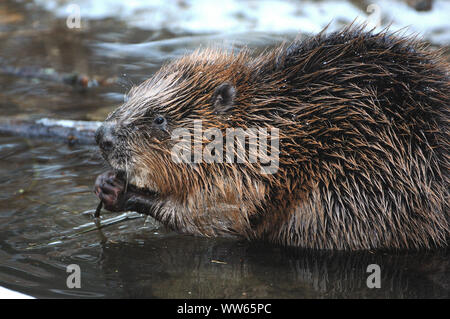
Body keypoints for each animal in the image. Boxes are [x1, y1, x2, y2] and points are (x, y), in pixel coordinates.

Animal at [93, 26, 448, 251]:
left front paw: (120, 192)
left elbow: (217, 216)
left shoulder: (244, 172)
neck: (268, 119)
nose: (102, 135)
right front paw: (104, 183)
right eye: (130, 96)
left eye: (159, 118)